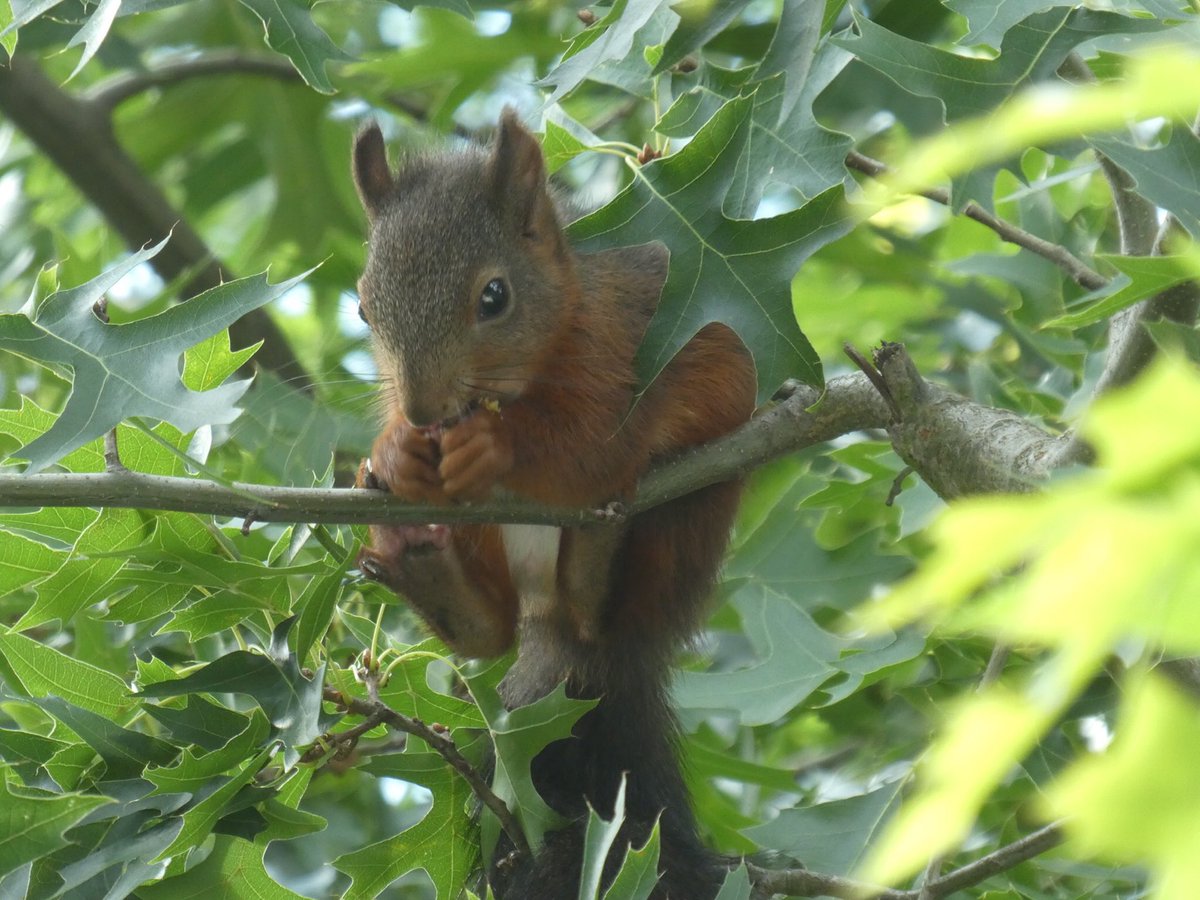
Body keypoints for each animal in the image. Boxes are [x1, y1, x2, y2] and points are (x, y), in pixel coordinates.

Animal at [350, 111, 753, 900]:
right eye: (362, 306)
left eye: (494, 297)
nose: (422, 410)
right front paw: (395, 451)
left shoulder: (624, 356)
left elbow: (588, 448)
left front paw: (494, 446)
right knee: (490, 630)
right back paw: (429, 568)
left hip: (690, 514)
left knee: (605, 602)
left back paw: (598, 559)